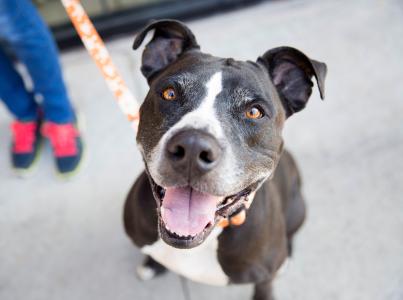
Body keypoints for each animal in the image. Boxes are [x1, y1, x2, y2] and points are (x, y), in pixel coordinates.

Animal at [124, 19, 328, 300]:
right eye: (169, 94)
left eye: (254, 112)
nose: (192, 147)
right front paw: (152, 263)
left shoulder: (264, 277)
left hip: (299, 209)